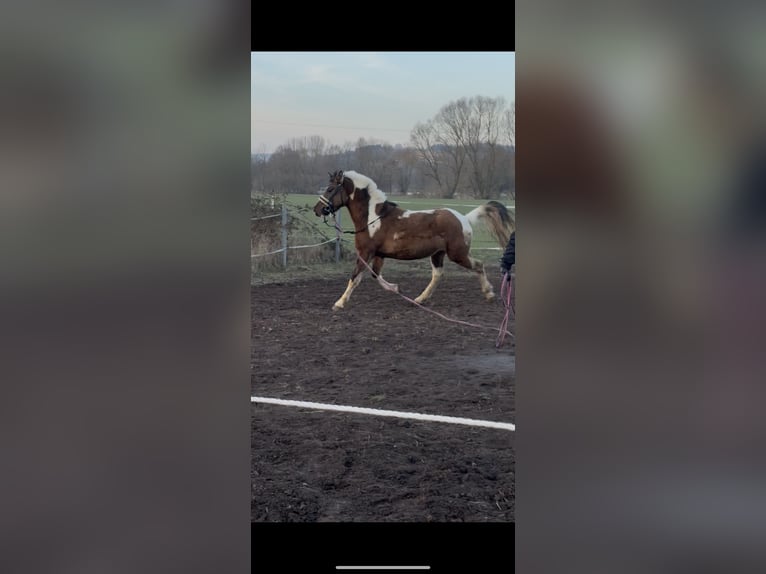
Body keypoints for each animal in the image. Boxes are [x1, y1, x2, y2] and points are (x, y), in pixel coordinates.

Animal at [313, 170, 515, 311]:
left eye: (330, 189)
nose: (317, 210)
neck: (373, 218)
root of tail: (464, 218)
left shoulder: (365, 253)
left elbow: (355, 277)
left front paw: (339, 303)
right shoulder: (379, 255)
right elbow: (375, 275)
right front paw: (396, 288)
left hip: (458, 254)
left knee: (478, 265)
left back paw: (489, 294)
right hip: (438, 254)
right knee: (437, 275)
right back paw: (420, 299)